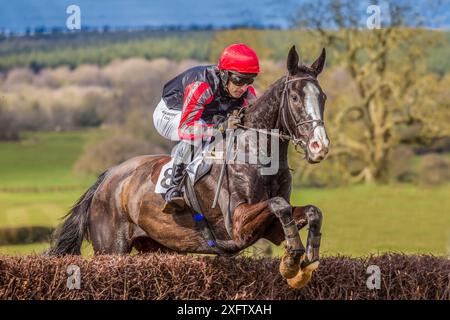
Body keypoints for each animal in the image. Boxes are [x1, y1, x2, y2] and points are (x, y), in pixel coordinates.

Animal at [48, 46, 330, 288]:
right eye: (295, 97)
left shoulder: (271, 229)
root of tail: (108, 178)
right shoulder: (237, 225)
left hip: (155, 246)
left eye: (323, 97)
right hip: (111, 249)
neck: (255, 152)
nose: (320, 146)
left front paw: (307, 258)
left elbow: (311, 211)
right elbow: (278, 204)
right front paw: (292, 260)